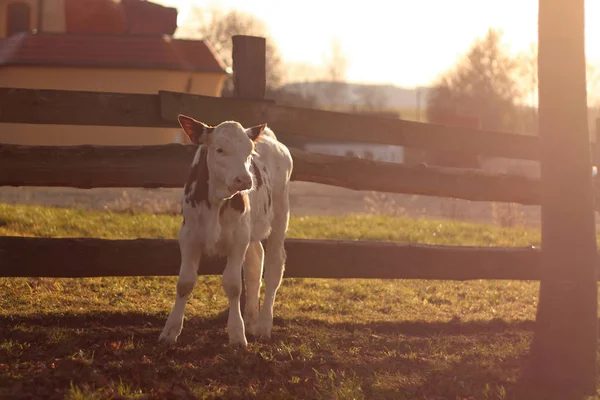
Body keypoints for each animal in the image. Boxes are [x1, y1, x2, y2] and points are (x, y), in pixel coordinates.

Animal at [158, 113, 292, 346]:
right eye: (220, 150)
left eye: (249, 152)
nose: (245, 180)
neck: (216, 199)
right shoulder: (188, 236)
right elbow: (184, 282)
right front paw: (170, 331)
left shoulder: (238, 240)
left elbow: (233, 285)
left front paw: (237, 334)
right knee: (255, 263)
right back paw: (251, 321)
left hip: (280, 216)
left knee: (274, 267)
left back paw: (264, 325)